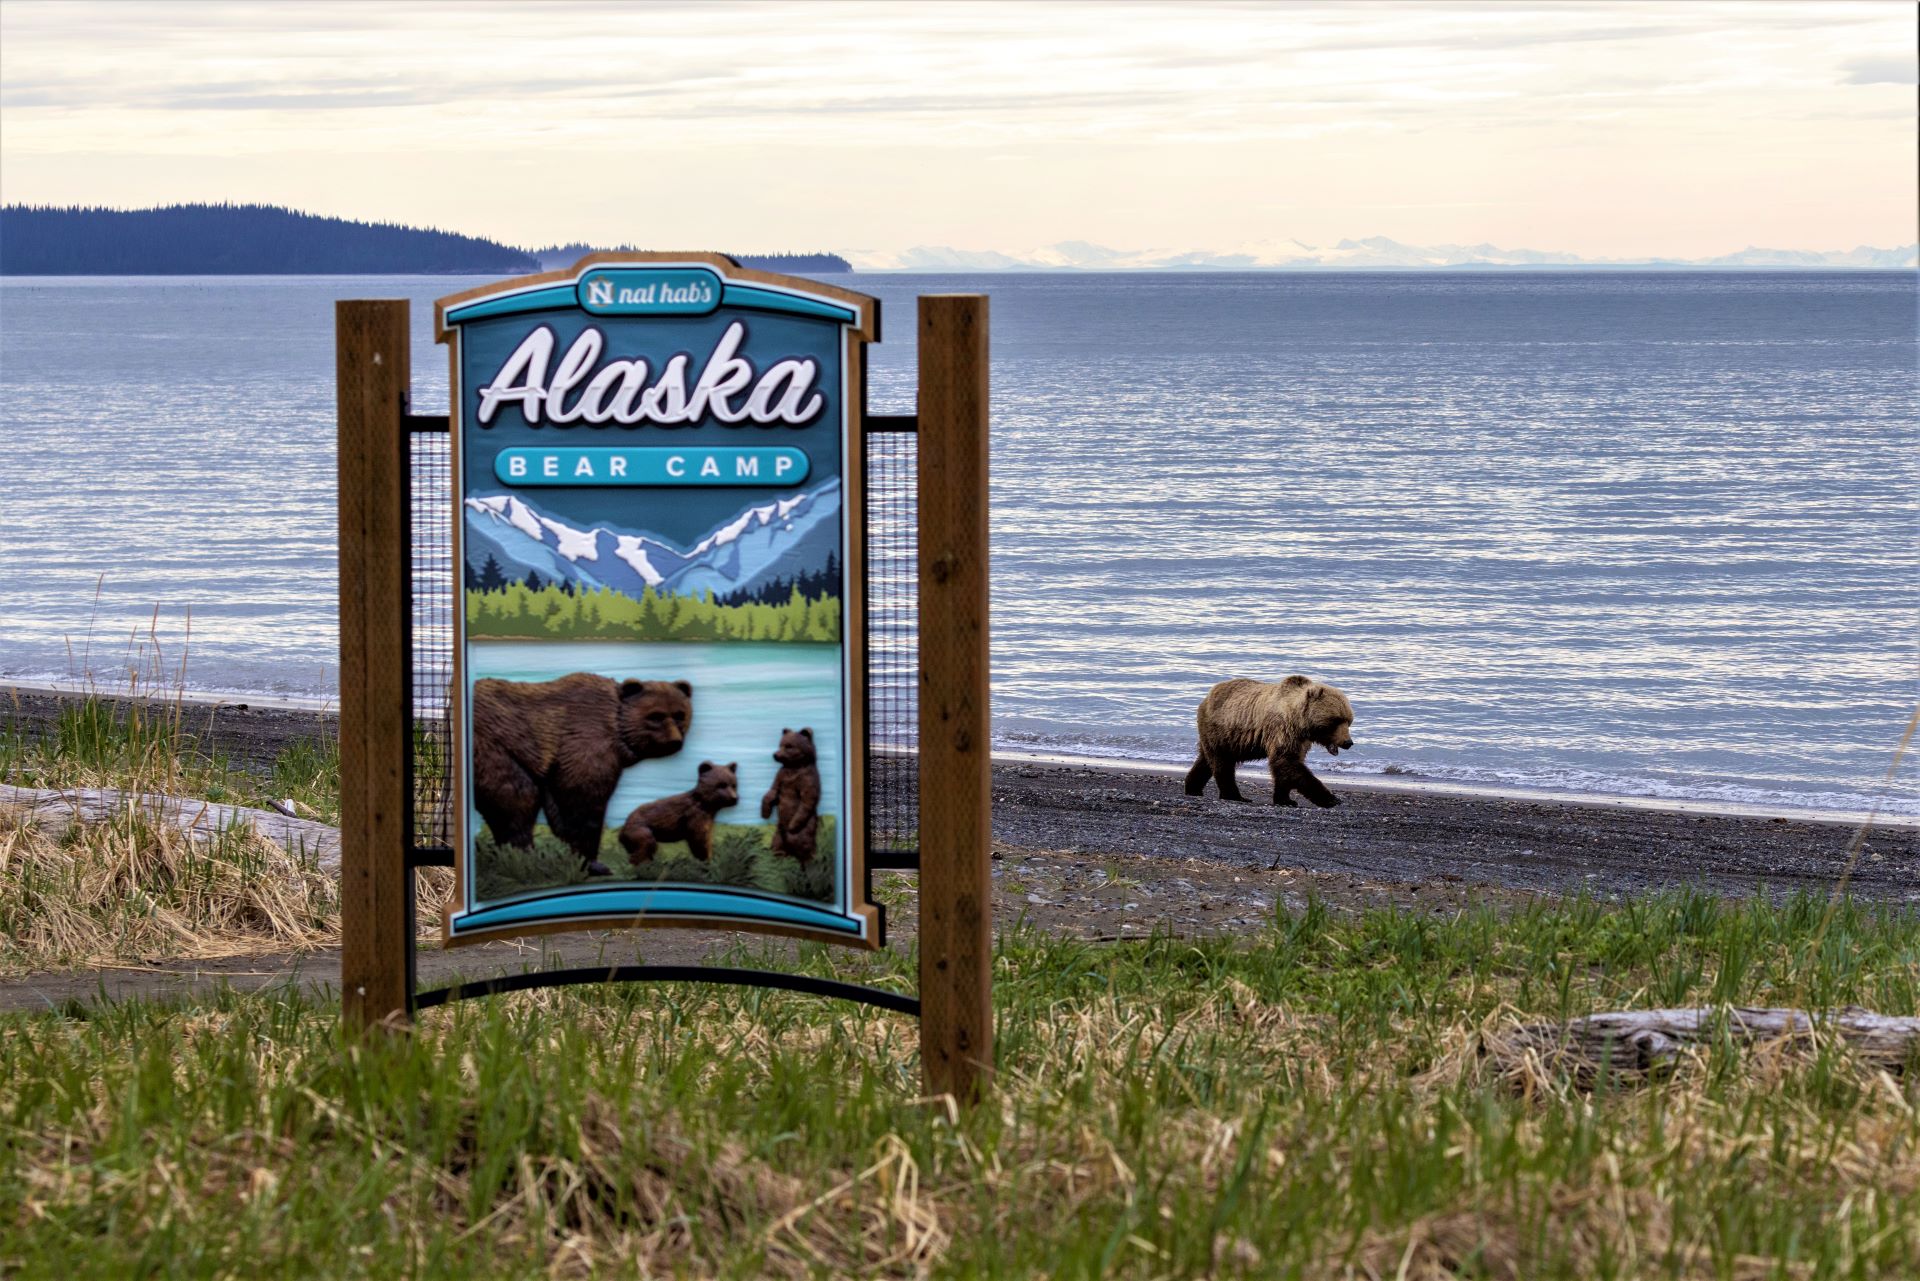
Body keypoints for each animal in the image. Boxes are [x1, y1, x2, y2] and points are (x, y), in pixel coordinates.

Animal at [760, 725, 821, 868]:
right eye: (781, 744)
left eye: (789, 746)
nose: (776, 755)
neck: (793, 767)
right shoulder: (781, 776)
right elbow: (772, 793)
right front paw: (765, 811)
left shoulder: (807, 779)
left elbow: (807, 801)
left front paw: (793, 825)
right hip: (778, 833)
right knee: (778, 845)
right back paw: (776, 860)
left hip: (804, 831)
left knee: (803, 845)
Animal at [1175, 676, 1359, 806]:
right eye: (1336, 720)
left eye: (1349, 720)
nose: (1348, 742)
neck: (1300, 722)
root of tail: (1206, 697)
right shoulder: (1282, 730)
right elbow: (1286, 762)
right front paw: (1331, 799)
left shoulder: (1300, 740)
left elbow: (1288, 766)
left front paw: (1285, 799)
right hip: (1219, 729)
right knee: (1222, 764)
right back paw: (1234, 795)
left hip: (1222, 737)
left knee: (1205, 760)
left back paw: (1193, 787)